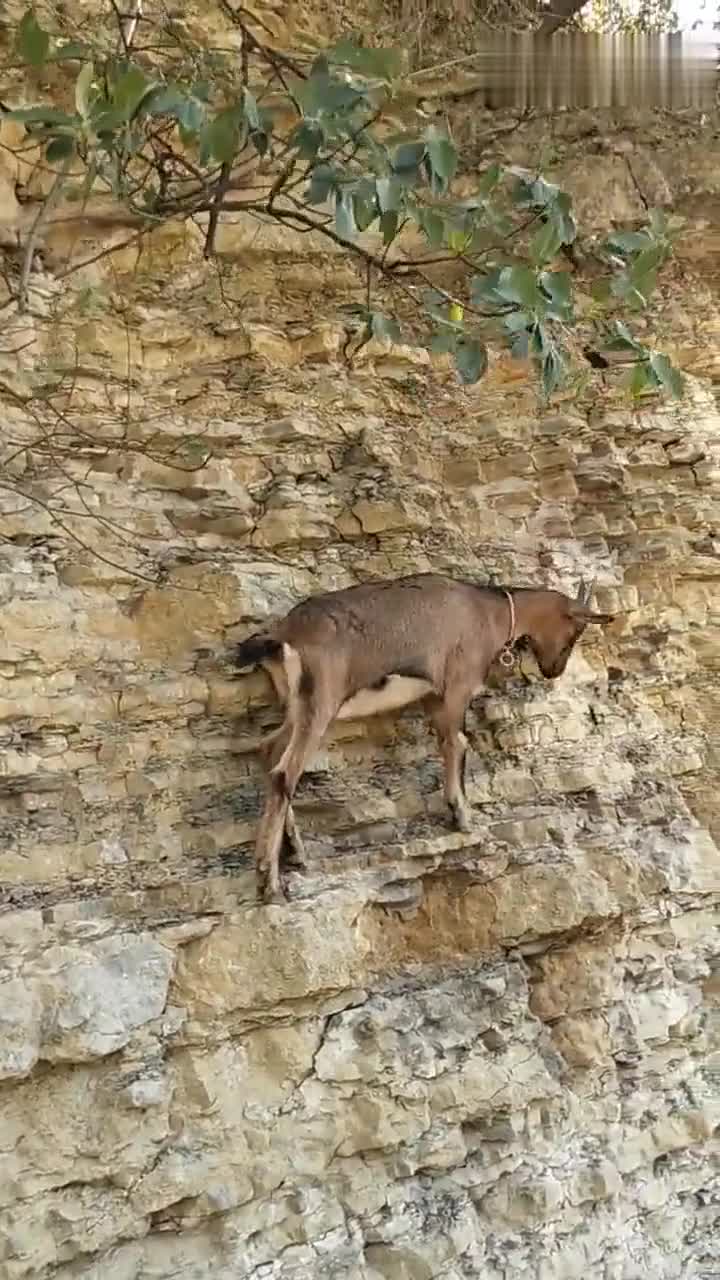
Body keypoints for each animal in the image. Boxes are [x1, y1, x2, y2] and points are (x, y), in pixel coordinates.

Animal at [234, 576, 609, 906]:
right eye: (575, 632)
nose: (554, 670)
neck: (487, 611)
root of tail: (282, 636)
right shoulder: (456, 687)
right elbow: (457, 744)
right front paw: (462, 817)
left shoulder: (432, 697)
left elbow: (448, 742)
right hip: (320, 705)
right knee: (285, 772)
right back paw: (269, 882)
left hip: (297, 708)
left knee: (271, 751)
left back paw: (295, 852)